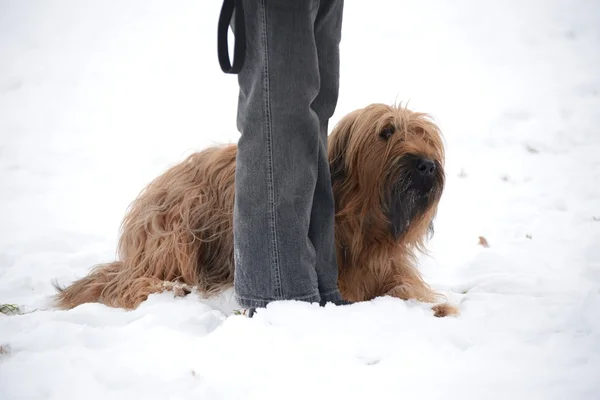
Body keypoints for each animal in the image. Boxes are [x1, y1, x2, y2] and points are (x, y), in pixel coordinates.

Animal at [57, 104, 460, 318]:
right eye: (386, 132)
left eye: (425, 136)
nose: (426, 165)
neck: (361, 223)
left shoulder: (387, 268)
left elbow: (406, 288)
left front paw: (438, 309)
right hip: (179, 227)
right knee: (129, 281)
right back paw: (168, 289)